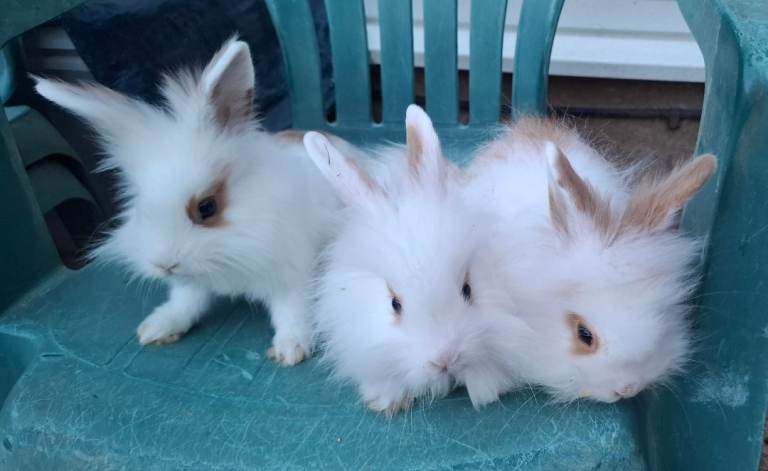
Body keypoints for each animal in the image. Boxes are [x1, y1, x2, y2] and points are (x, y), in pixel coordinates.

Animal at [34, 37, 344, 366]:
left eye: (206, 207)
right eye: (141, 208)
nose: (164, 264)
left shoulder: (291, 274)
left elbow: (291, 312)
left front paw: (290, 350)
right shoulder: (190, 282)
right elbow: (185, 302)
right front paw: (157, 328)